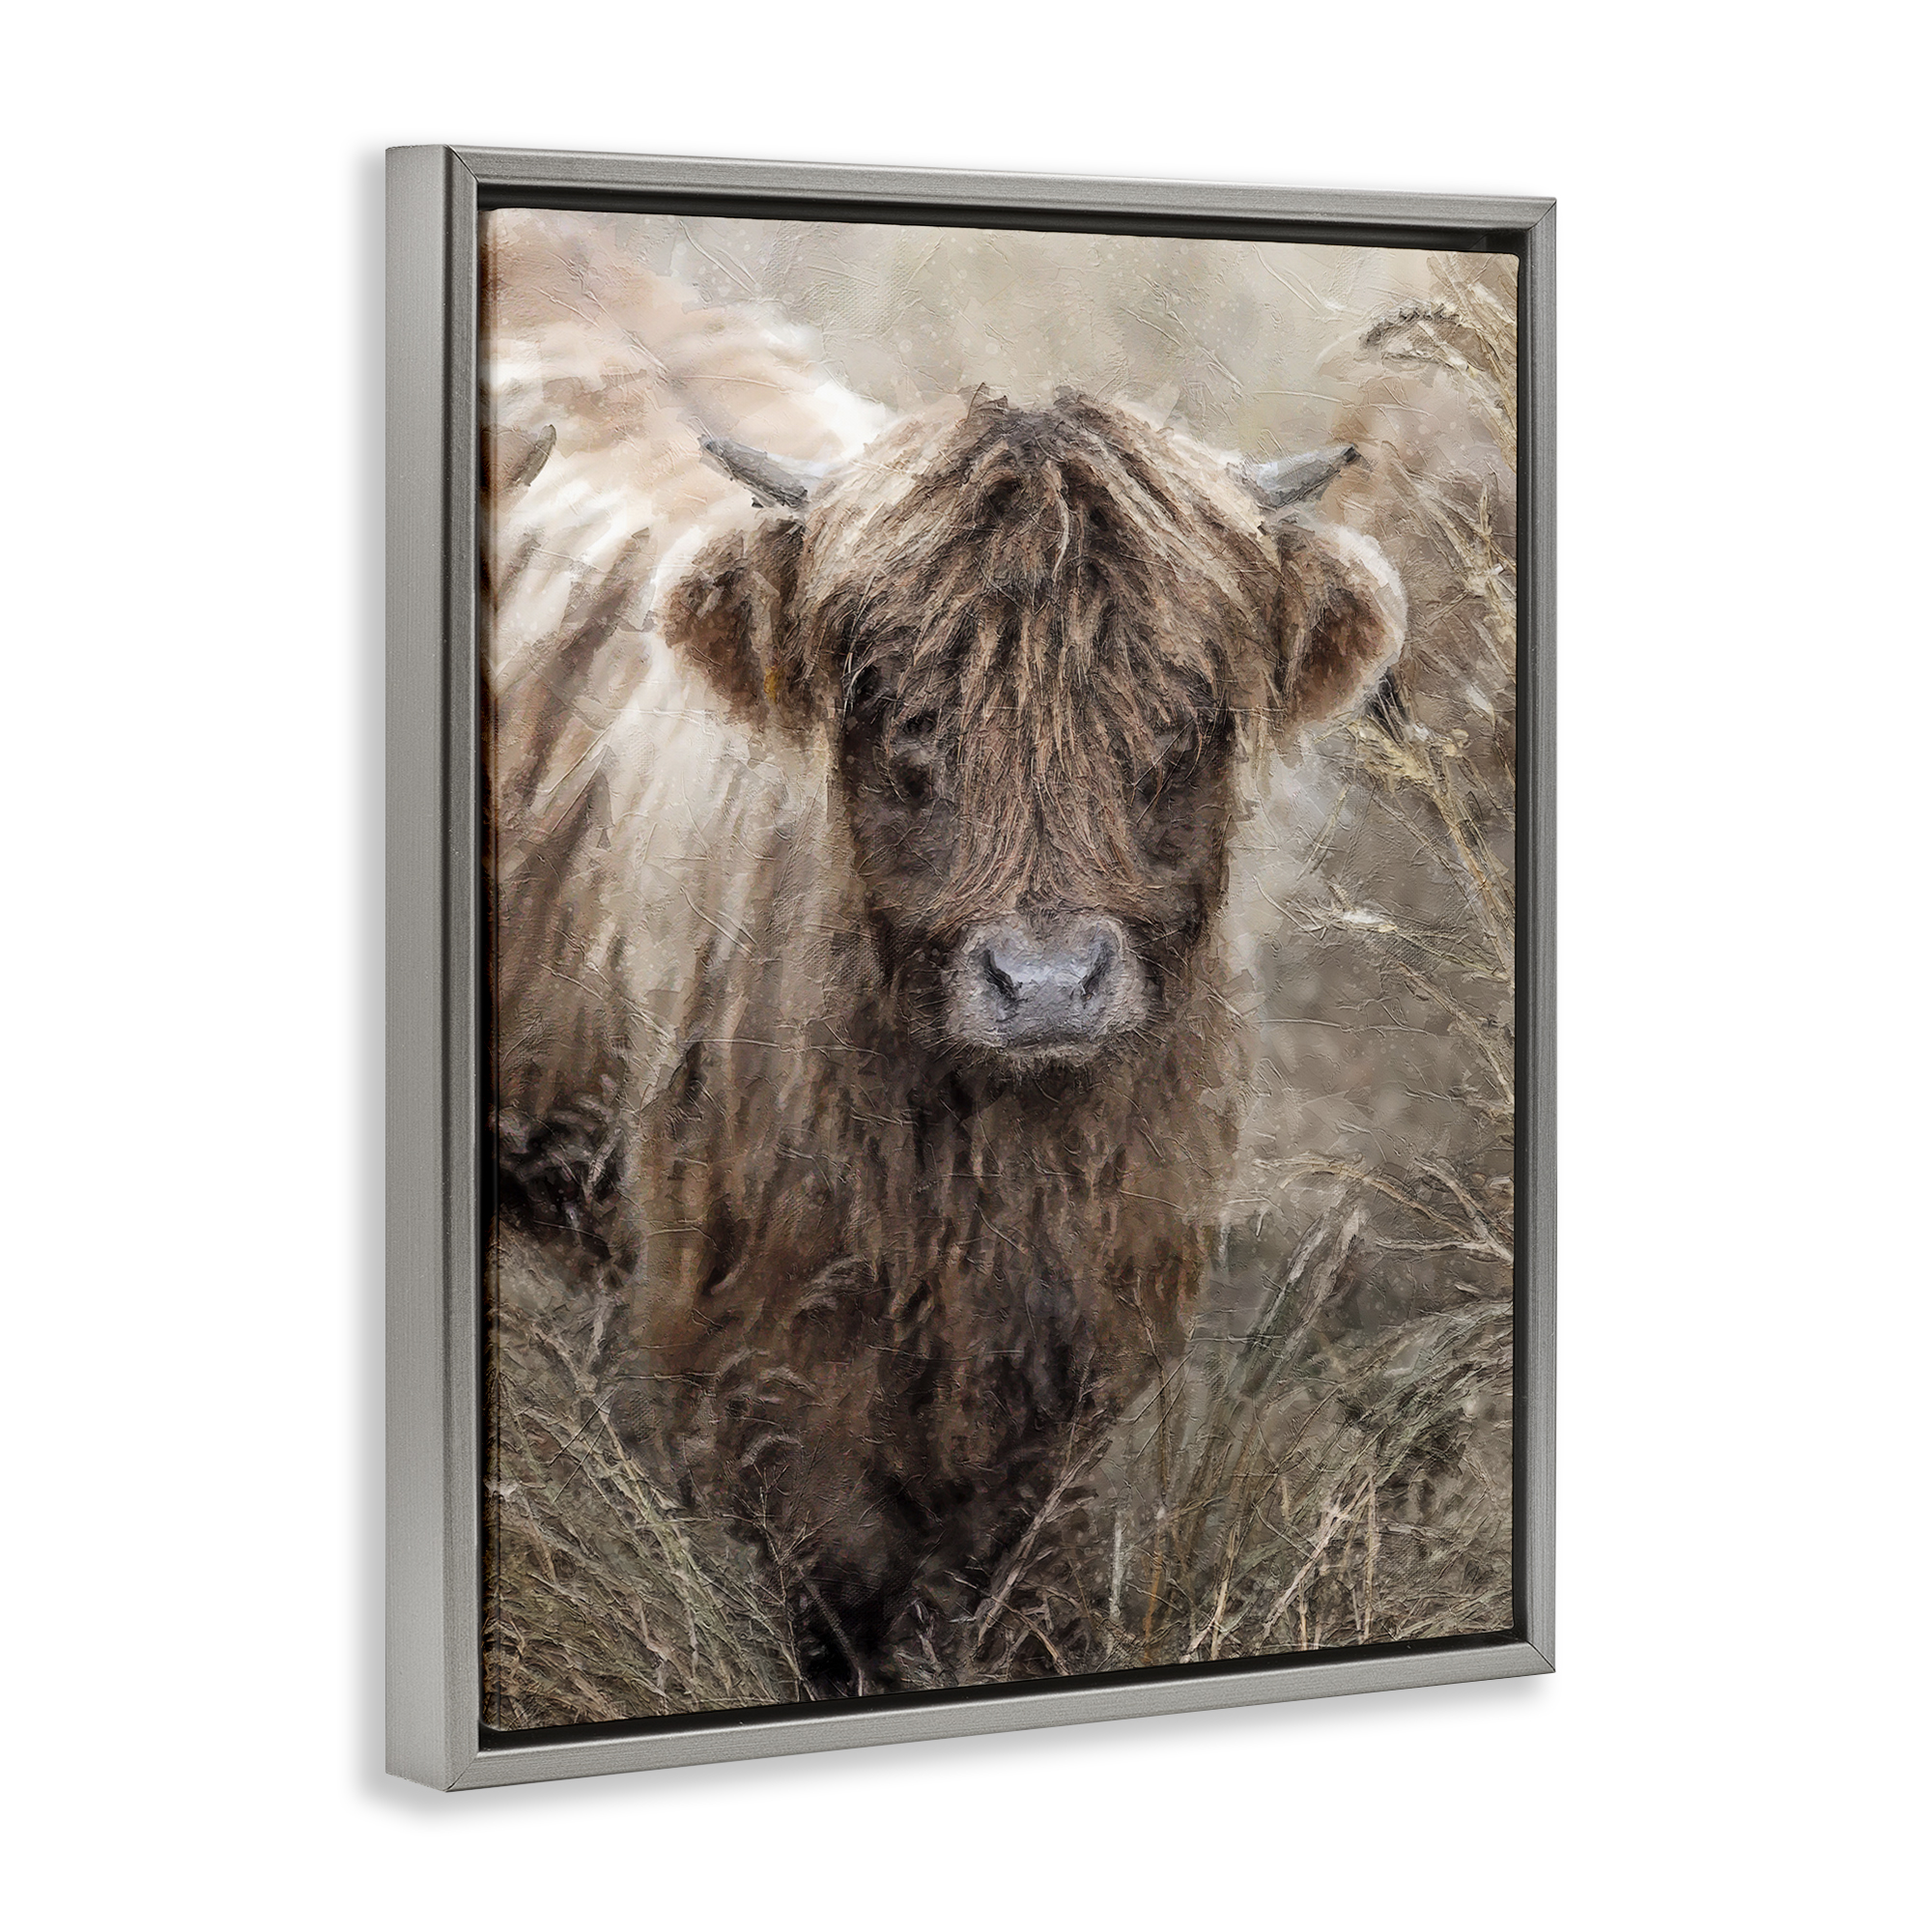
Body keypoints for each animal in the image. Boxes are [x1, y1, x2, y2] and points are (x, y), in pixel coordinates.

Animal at [489, 366, 1404, 1694]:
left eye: (1183, 717)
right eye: (899, 712)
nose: (1047, 982)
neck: (988, 1173)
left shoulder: (1082, 1358)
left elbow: (1029, 1578)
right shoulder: (753, 1349)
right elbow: (836, 1582)